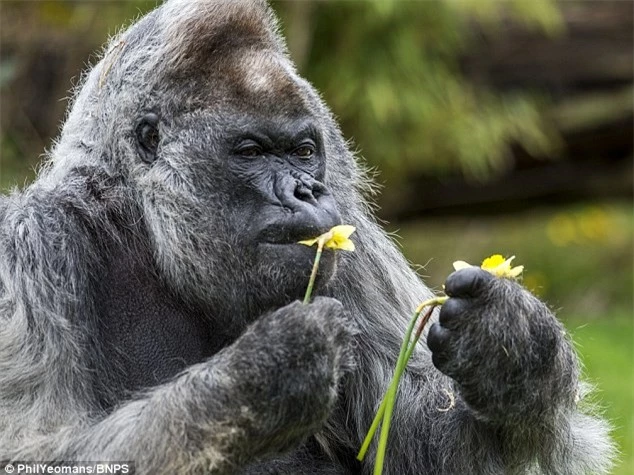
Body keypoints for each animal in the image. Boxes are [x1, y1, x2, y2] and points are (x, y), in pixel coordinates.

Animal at [0, 0, 612, 475]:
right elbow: (37, 446)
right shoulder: (27, 246)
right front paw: (266, 375)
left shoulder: (352, 250)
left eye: (303, 150)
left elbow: (426, 447)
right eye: (250, 151)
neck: (147, 237)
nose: (306, 191)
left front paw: (512, 351)